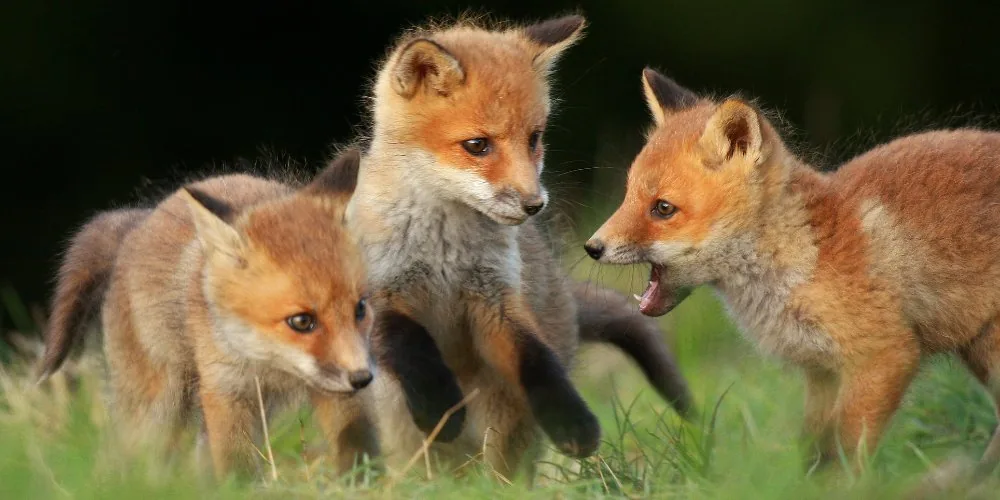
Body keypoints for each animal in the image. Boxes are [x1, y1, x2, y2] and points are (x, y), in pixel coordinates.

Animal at [36, 149, 466, 478]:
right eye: (301, 321)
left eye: (360, 308)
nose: (362, 377)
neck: (273, 365)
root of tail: (138, 222)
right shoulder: (227, 390)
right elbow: (237, 467)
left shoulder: (339, 394)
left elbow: (357, 448)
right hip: (157, 408)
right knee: (130, 455)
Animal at [344, 14, 692, 479]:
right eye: (477, 145)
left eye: (534, 138)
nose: (534, 204)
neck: (444, 251)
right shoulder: (381, 293)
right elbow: (410, 345)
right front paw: (440, 406)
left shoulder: (496, 299)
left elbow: (536, 360)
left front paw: (573, 422)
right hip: (402, 425)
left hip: (505, 417)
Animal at [585, 67, 1000, 477]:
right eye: (627, 196)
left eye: (663, 208)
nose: (592, 247)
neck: (805, 258)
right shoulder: (821, 373)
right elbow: (813, 450)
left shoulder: (883, 355)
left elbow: (849, 450)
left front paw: (851, 487)